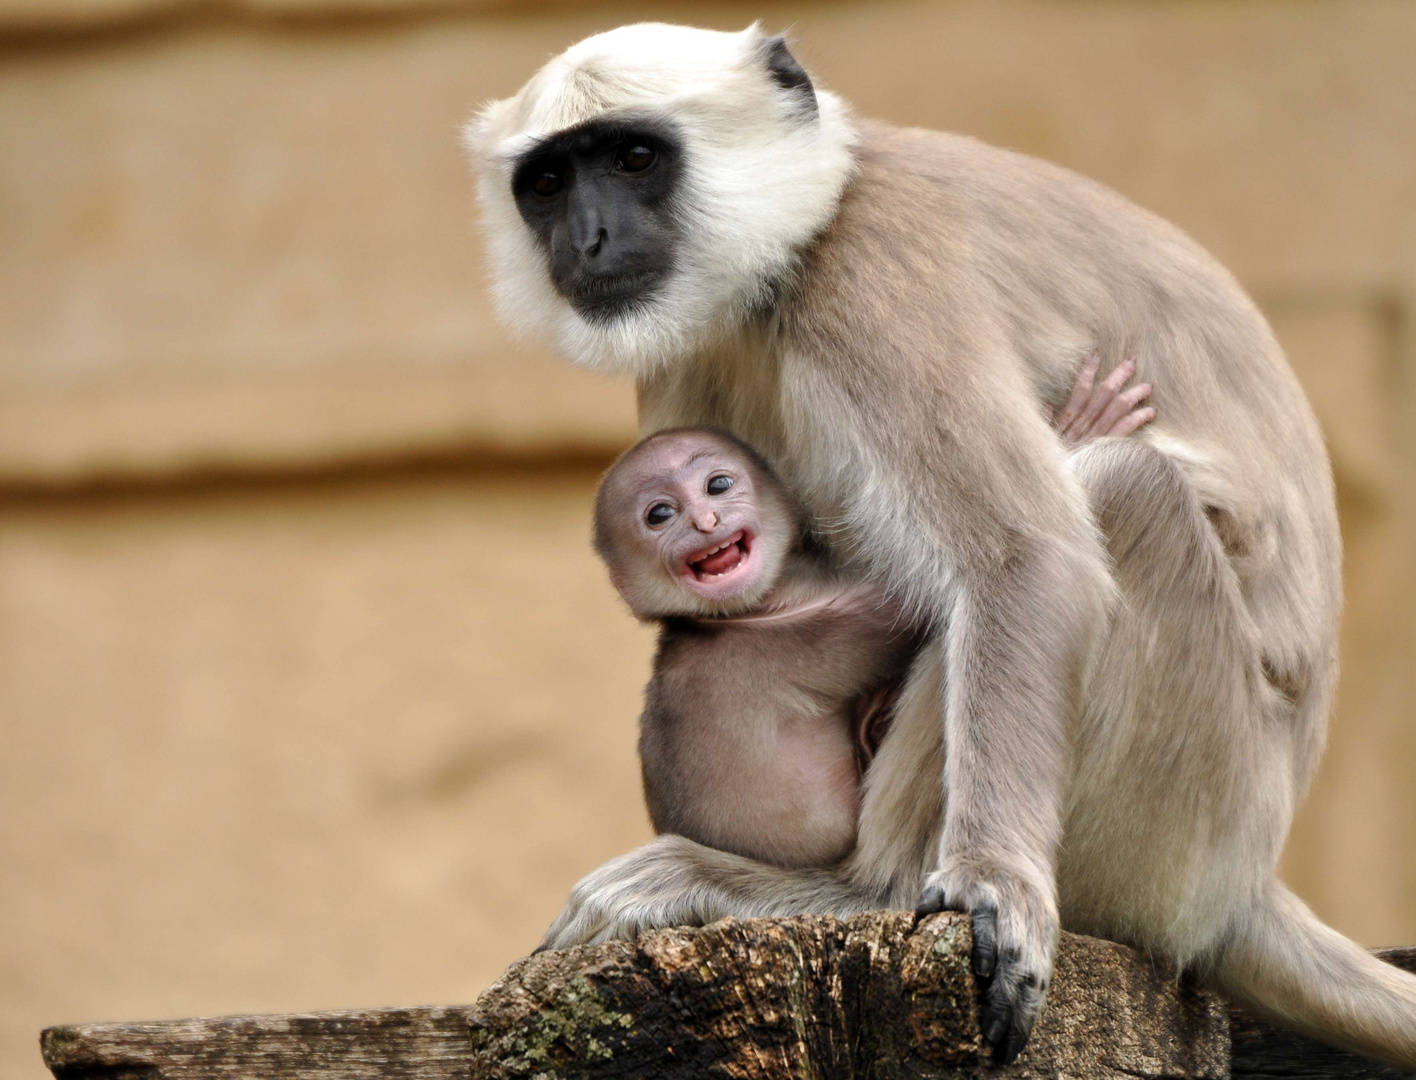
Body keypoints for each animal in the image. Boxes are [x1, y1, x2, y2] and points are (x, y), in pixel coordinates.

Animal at [586, 355, 1149, 877]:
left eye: (717, 485)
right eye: (660, 515)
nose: (705, 522)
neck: (738, 612)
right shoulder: (799, 632)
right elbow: (926, 604)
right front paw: (1078, 430)